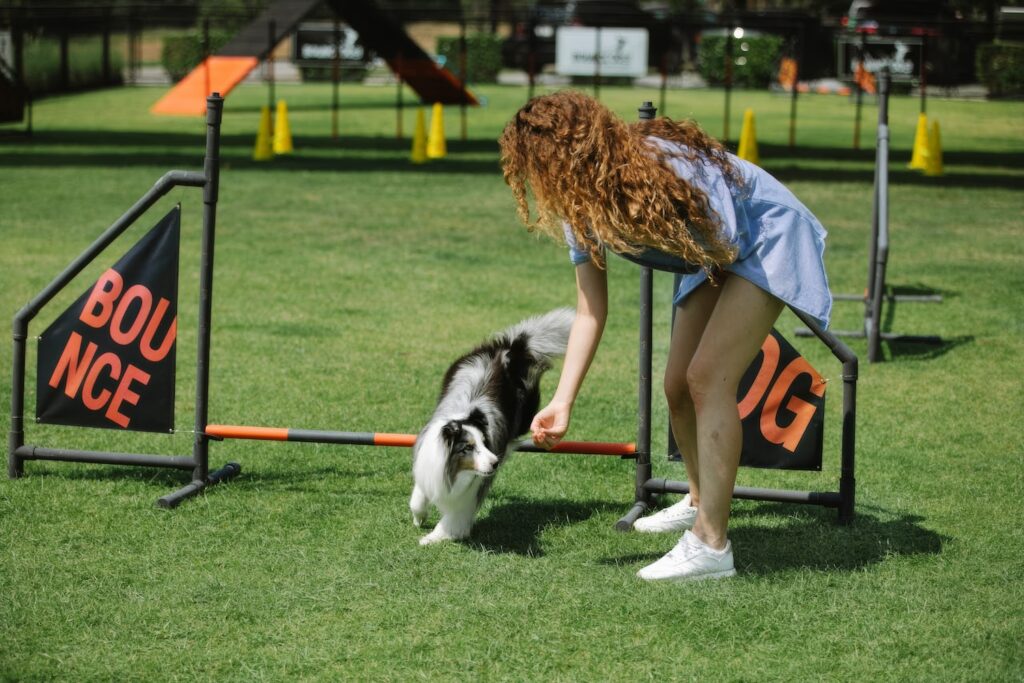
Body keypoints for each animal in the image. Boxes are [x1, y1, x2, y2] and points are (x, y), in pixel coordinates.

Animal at [409, 309, 577, 544]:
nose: (495, 462)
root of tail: (508, 348)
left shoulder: (470, 492)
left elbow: (453, 519)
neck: (452, 470)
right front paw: (419, 518)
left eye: (484, 443)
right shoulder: (427, 464)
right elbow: (417, 498)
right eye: (468, 448)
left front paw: (431, 538)